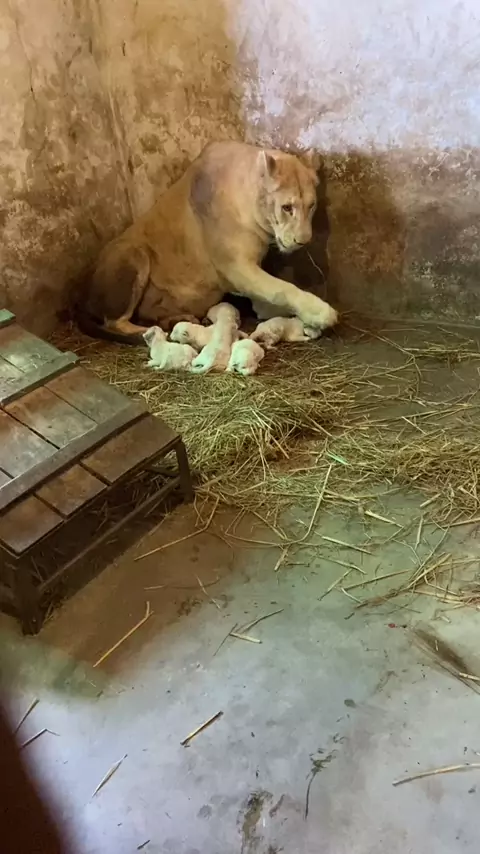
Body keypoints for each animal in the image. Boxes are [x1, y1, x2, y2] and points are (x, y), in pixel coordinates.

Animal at [76, 141, 338, 344]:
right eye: (287, 208)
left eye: (311, 205)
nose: (303, 241)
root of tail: (81, 294)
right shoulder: (235, 267)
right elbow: (280, 289)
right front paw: (321, 313)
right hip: (134, 253)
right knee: (115, 321)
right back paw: (148, 333)